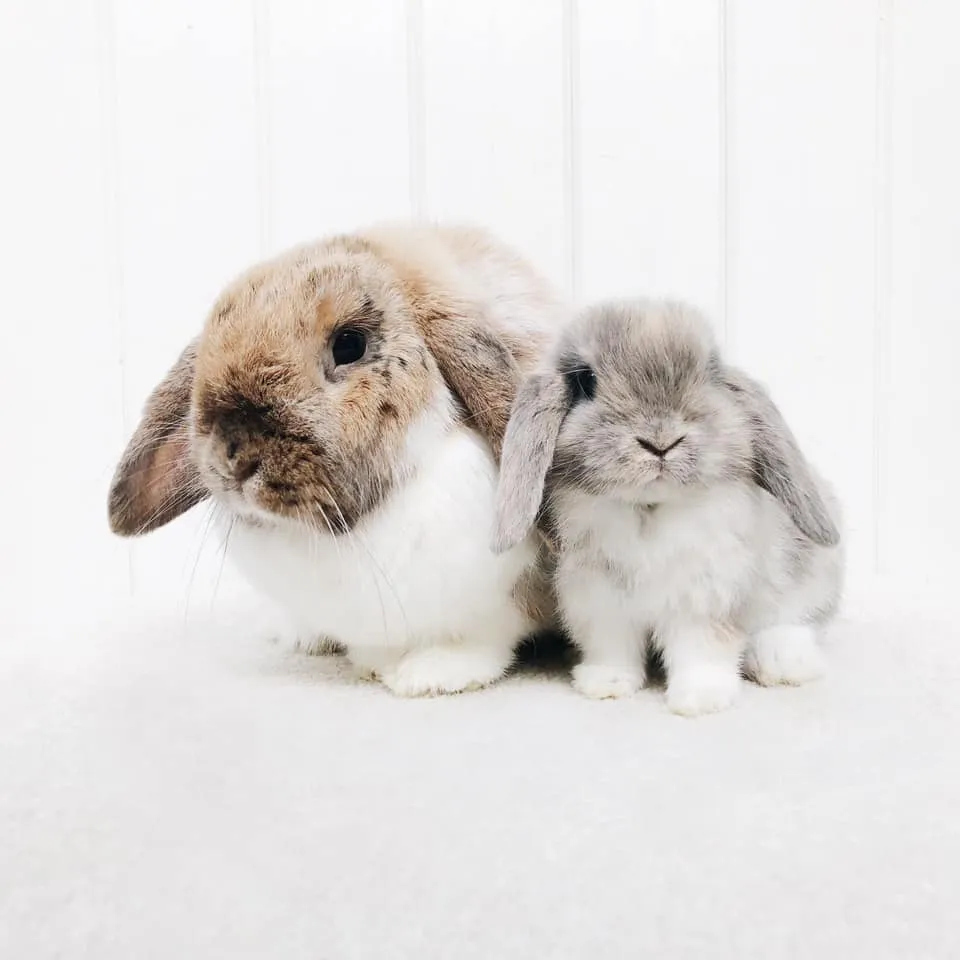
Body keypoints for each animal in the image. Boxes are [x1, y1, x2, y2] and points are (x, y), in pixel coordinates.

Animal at [493, 298, 844, 716]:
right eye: (585, 381)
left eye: (710, 373)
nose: (660, 441)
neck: (650, 508)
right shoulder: (601, 601)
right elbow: (613, 648)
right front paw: (605, 684)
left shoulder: (704, 597)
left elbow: (701, 649)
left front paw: (700, 699)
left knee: (795, 618)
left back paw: (785, 663)